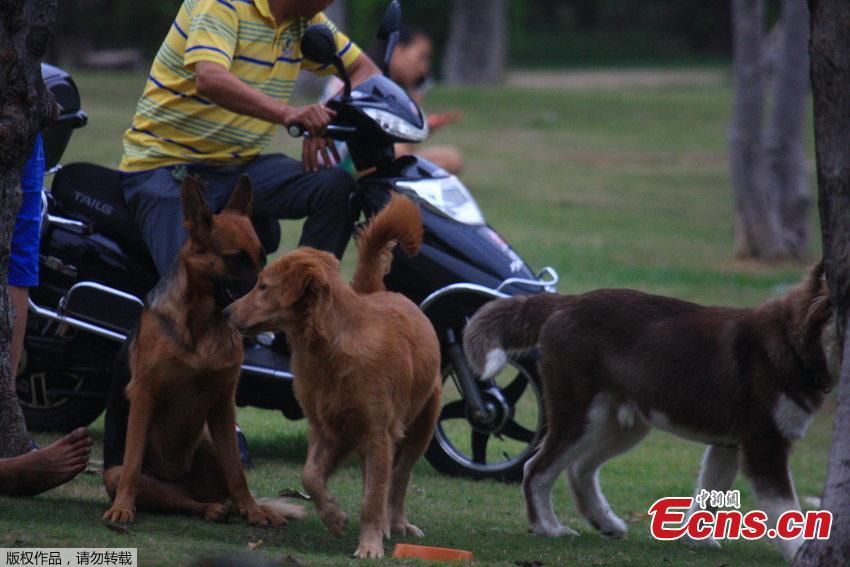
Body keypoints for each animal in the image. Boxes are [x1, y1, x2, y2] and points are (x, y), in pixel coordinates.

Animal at [102, 175, 299, 526]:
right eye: (237, 258)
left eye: (262, 257)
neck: (206, 326)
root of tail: (178, 477)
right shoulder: (144, 395)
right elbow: (133, 461)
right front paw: (123, 507)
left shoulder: (222, 403)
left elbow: (238, 472)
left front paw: (254, 511)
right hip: (118, 474)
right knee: (175, 498)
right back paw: (208, 509)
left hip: (208, 439)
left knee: (218, 491)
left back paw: (240, 507)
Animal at [225, 194, 442, 559]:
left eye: (263, 286)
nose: (226, 312)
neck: (331, 346)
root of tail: (381, 291)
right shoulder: (330, 429)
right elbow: (310, 475)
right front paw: (334, 516)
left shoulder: (377, 433)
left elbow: (374, 497)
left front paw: (369, 544)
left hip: (420, 428)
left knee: (398, 480)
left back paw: (395, 523)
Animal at [463, 261, 837, 561]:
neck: (792, 342)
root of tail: (569, 301)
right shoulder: (764, 445)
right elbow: (786, 508)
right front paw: (801, 552)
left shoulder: (728, 444)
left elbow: (710, 494)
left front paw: (697, 541)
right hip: (582, 417)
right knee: (537, 469)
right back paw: (548, 529)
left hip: (622, 426)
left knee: (579, 468)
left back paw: (605, 522)